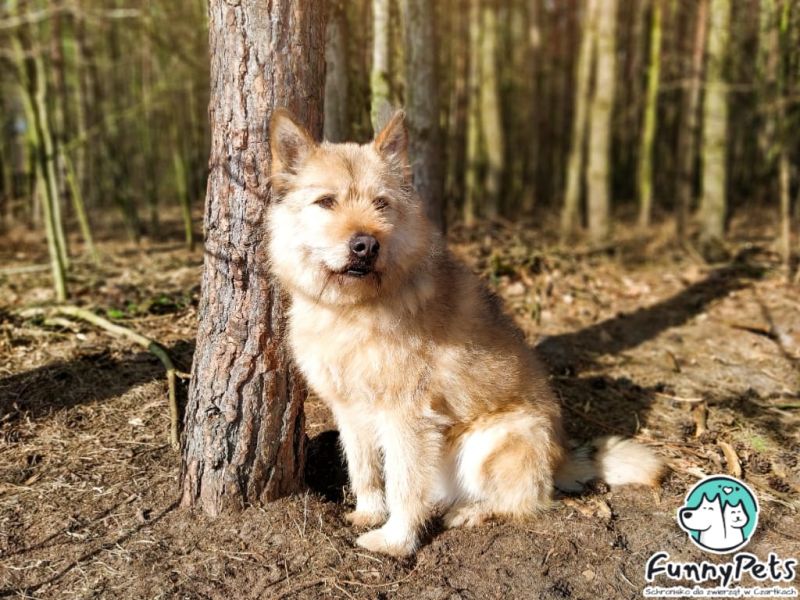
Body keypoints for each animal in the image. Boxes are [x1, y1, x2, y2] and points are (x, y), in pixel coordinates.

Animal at [266, 108, 663, 557]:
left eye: (381, 204)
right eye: (326, 202)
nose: (365, 245)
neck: (352, 309)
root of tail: (562, 455)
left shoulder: (407, 416)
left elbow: (403, 483)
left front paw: (395, 541)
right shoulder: (349, 410)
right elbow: (364, 468)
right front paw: (368, 513)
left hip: (487, 443)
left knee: (527, 500)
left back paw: (471, 512)